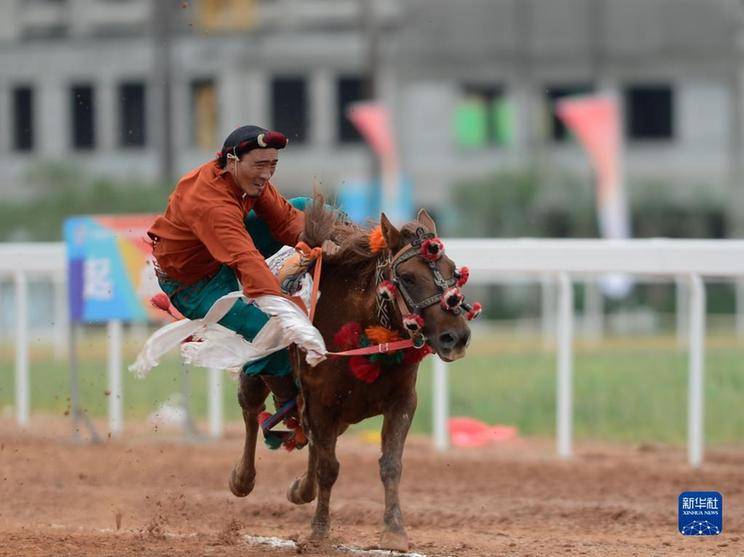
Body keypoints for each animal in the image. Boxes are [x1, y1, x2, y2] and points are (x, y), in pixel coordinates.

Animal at [227, 198, 474, 548]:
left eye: (453, 270)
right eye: (408, 277)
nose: (456, 337)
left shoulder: (402, 402)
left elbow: (390, 464)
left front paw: (394, 531)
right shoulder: (320, 403)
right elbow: (329, 468)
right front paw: (319, 531)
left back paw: (301, 488)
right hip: (258, 375)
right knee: (251, 414)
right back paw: (243, 478)